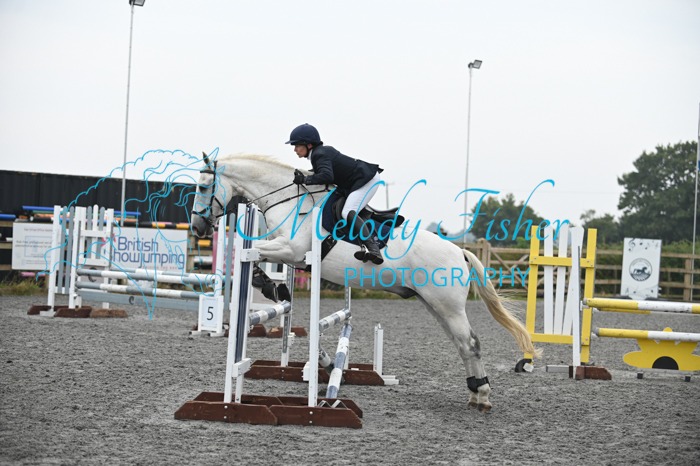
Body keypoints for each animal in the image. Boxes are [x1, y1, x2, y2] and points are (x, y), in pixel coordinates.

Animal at [190, 152, 539, 412]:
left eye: (204, 188)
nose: (197, 227)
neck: (290, 200)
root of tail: (460, 252)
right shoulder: (292, 255)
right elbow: (255, 257)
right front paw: (275, 286)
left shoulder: (292, 249)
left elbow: (253, 252)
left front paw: (270, 284)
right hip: (434, 305)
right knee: (462, 345)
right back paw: (474, 392)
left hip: (447, 306)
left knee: (470, 343)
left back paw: (483, 395)